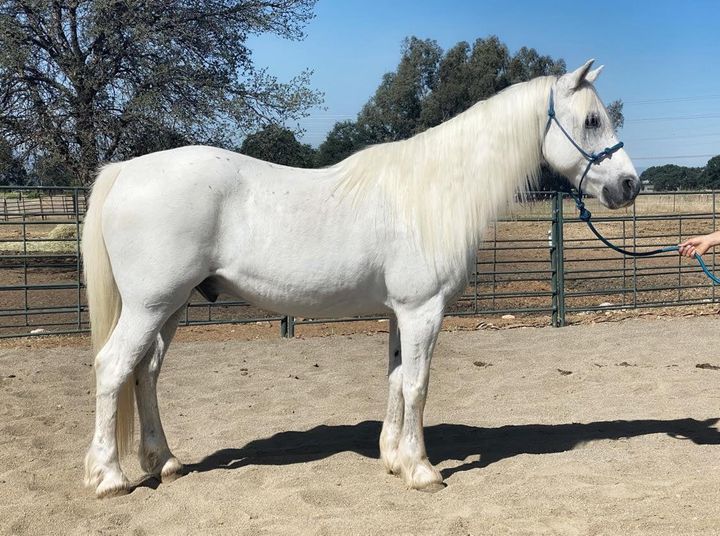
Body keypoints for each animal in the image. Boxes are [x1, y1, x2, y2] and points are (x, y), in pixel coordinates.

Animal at [82, 59, 640, 498]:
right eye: (592, 119)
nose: (629, 185)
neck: (435, 191)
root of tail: (126, 171)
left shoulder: (402, 312)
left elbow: (395, 379)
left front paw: (393, 458)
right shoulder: (422, 310)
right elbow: (417, 384)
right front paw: (422, 470)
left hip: (171, 308)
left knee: (145, 372)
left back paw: (165, 463)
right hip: (150, 306)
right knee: (113, 368)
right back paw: (109, 477)